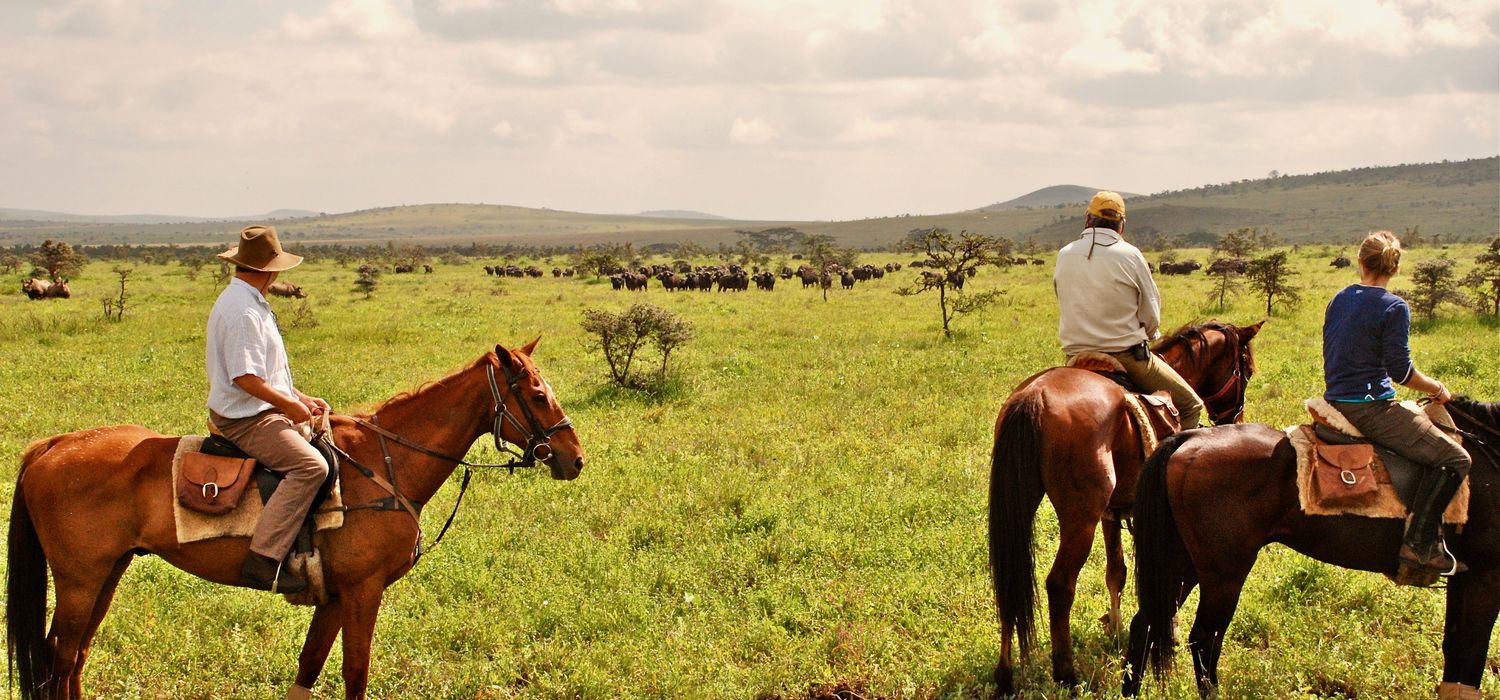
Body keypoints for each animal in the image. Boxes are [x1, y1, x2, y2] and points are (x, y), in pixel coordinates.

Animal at [7, 337, 585, 698]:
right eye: (537, 395)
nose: (574, 458)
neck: (383, 465)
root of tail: (52, 445)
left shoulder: (334, 597)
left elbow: (309, 667)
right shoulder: (363, 592)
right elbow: (355, 674)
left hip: (108, 572)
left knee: (74, 657)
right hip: (80, 580)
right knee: (61, 657)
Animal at [990, 322, 1260, 695]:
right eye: (1245, 370)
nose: (1233, 418)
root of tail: (1033, 397)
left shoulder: (1111, 513)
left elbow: (1116, 571)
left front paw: (1115, 630)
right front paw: (1170, 630)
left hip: (1022, 506)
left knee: (1010, 579)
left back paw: (1005, 677)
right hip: (1080, 518)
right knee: (1059, 585)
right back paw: (1066, 675)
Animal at [1128, 398, 1500, 698]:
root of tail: (1190, 438)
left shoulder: (1464, 577)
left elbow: (1455, 648)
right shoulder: (1485, 578)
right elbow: (1471, 652)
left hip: (1182, 562)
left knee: (1144, 625)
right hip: (1224, 572)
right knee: (1205, 639)